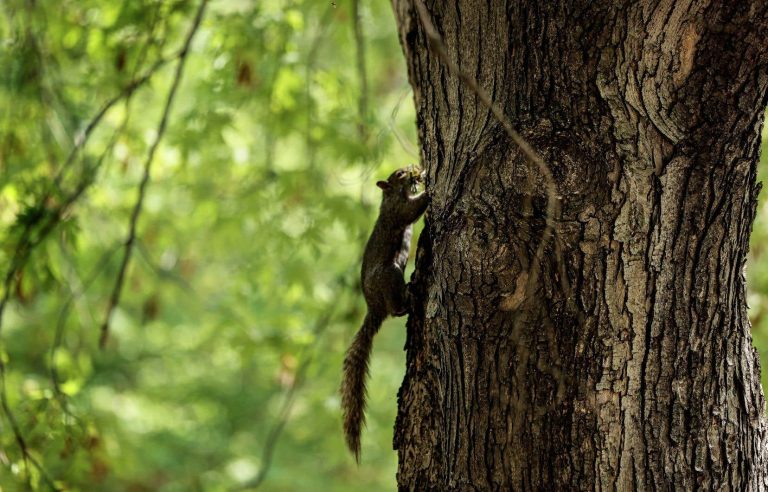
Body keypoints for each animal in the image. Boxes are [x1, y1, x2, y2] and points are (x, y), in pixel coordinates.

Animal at [340, 165, 428, 462]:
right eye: (399, 174)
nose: (413, 169)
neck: (391, 196)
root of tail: (375, 307)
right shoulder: (398, 211)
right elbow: (413, 210)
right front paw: (430, 185)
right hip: (390, 275)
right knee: (396, 310)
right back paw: (408, 300)